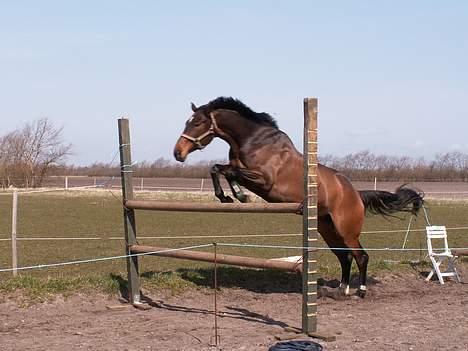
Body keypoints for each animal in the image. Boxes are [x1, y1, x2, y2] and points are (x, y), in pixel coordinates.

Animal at [175, 97, 424, 298]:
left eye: (197, 123)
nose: (178, 153)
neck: (252, 140)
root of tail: (356, 193)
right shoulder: (245, 173)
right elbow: (219, 169)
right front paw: (229, 196)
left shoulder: (264, 180)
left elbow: (228, 171)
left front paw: (238, 195)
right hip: (327, 228)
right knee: (345, 257)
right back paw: (341, 290)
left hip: (346, 230)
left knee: (360, 256)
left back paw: (360, 291)